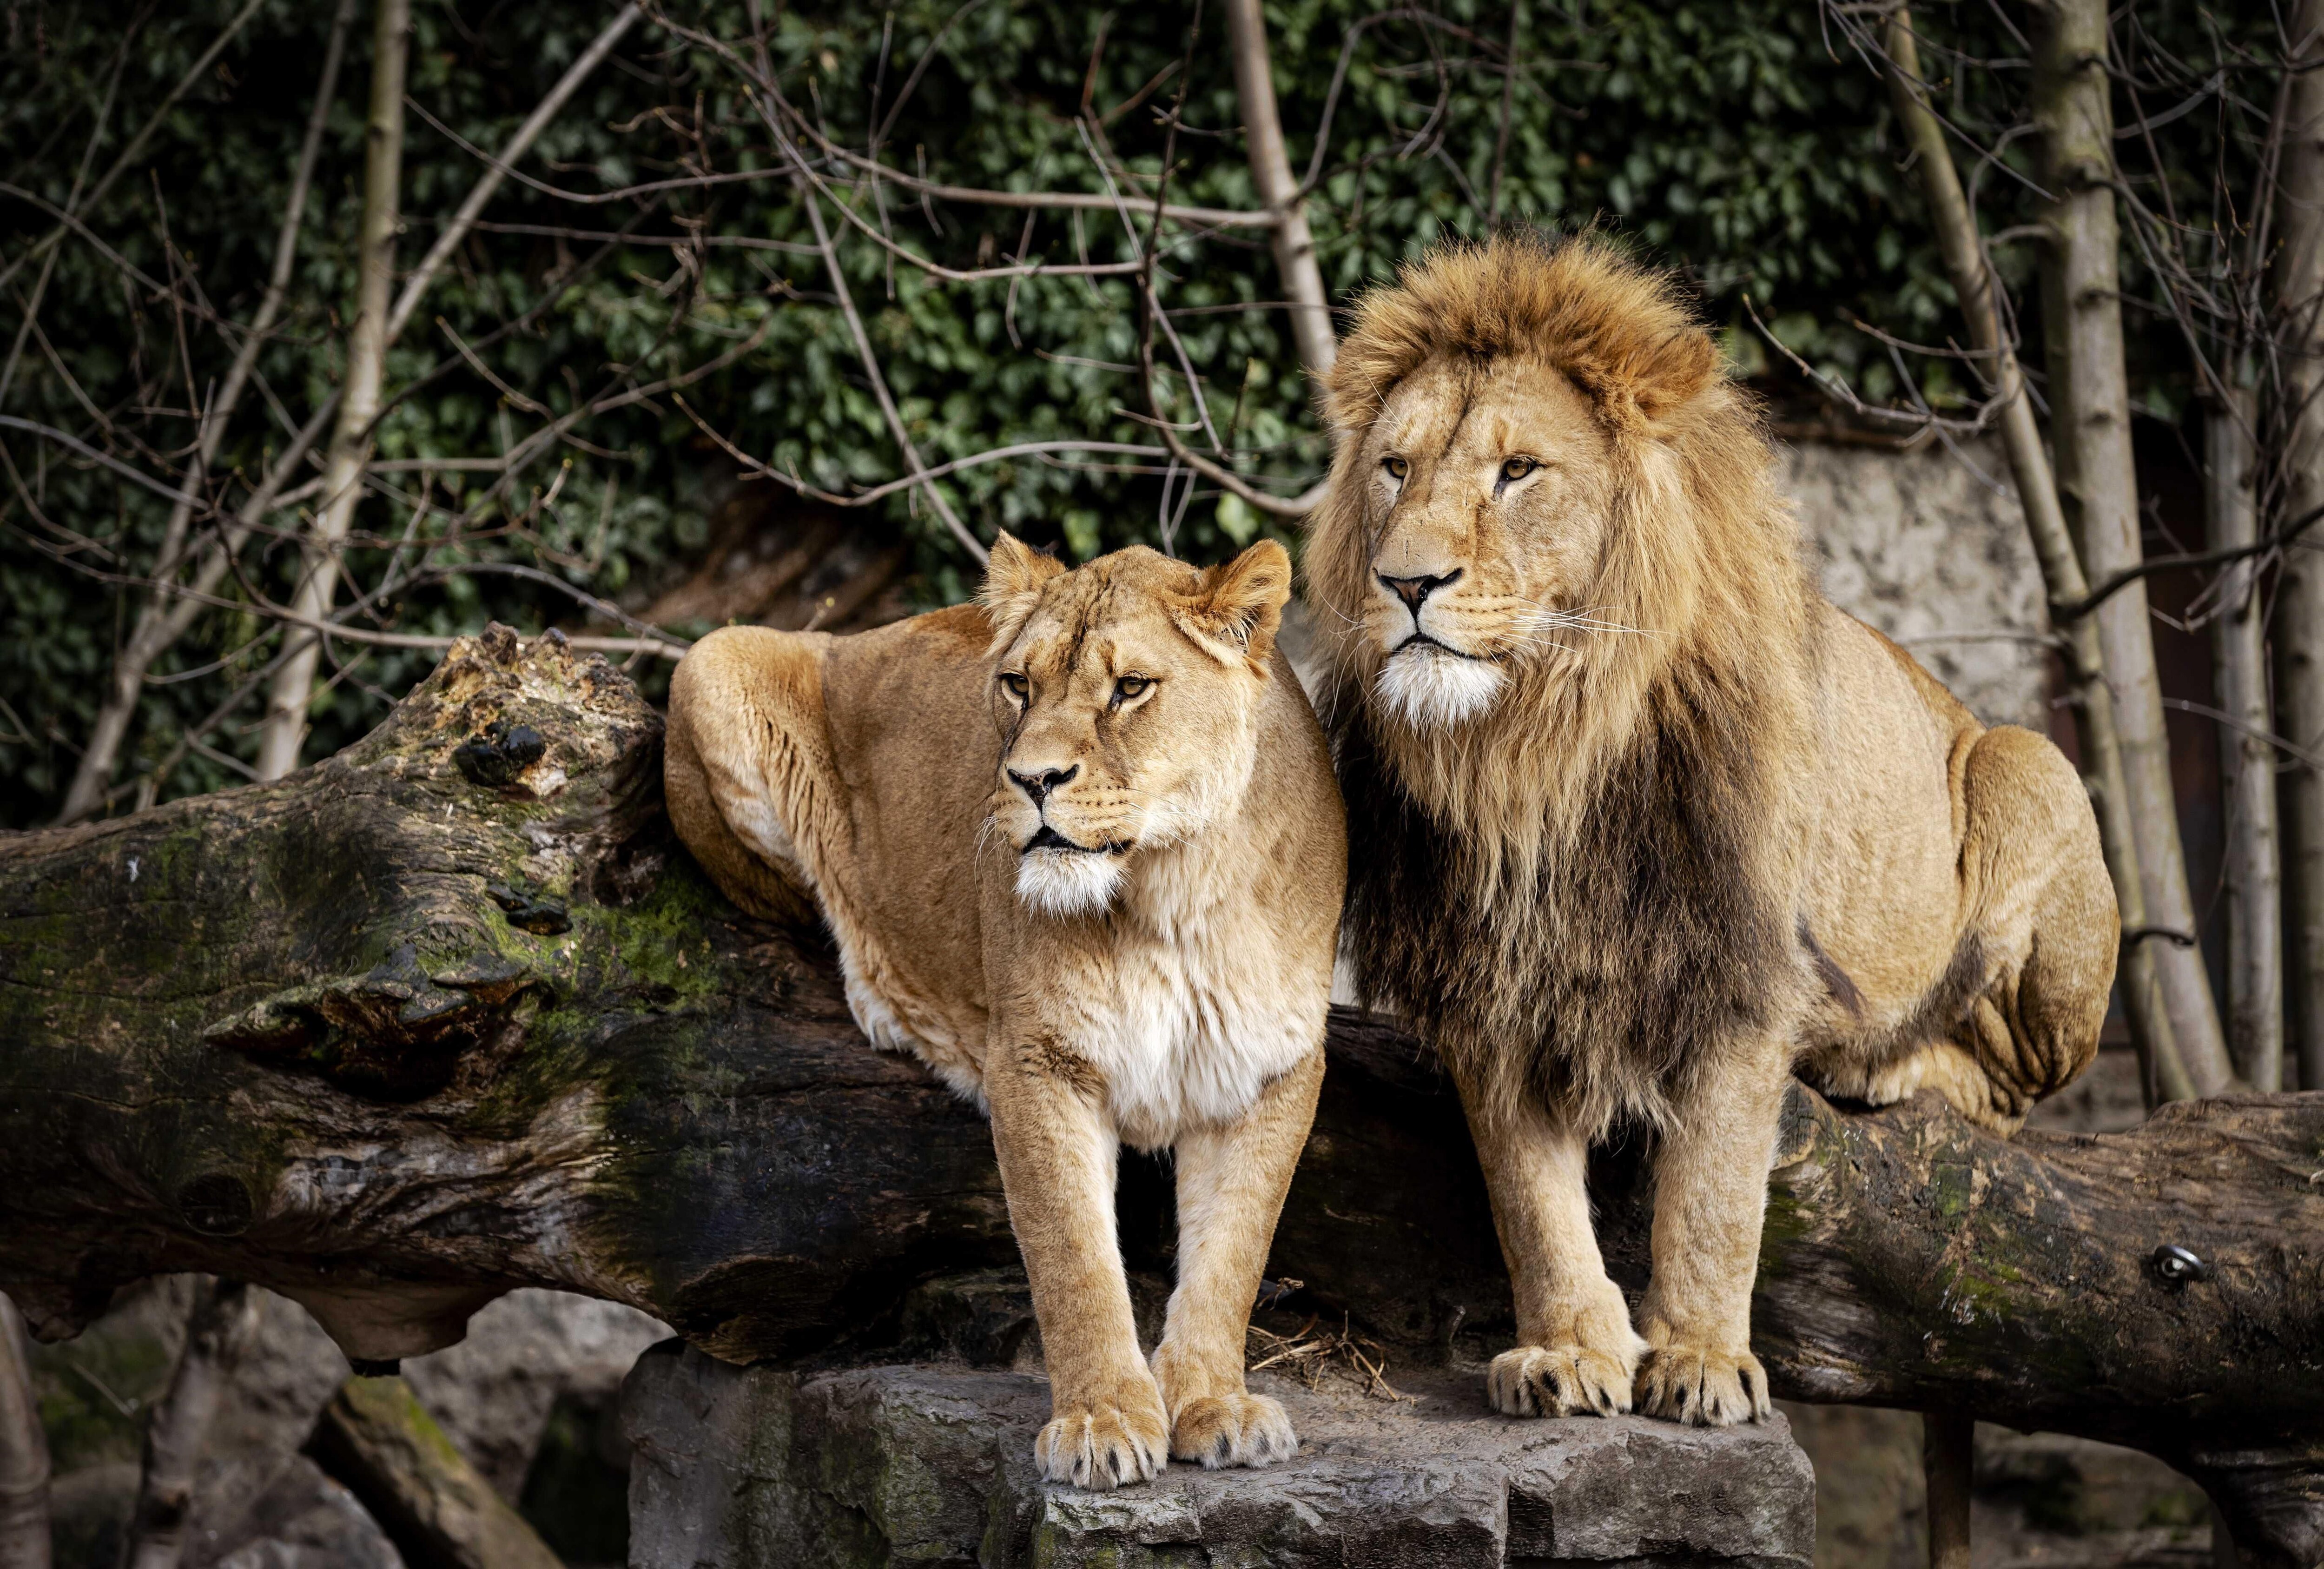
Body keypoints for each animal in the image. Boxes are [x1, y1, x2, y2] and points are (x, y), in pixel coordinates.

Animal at [665, 537, 1348, 1488]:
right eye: (1019, 684)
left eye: (1131, 687)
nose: (1032, 779)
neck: (1167, 893)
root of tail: (855, 637)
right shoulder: (1036, 1059)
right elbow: (1074, 1256)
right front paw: (1103, 1421)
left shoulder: (1270, 1067)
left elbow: (1233, 1253)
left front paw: (1216, 1405)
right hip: (711, 657)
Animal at [1311, 233, 2129, 1423]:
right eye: (1394, 469)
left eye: (1517, 472)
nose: (1404, 580)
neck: (1535, 752)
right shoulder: (1494, 982)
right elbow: (1530, 1199)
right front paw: (1569, 1349)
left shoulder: (1741, 964)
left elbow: (1712, 1194)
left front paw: (1698, 1359)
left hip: (2030, 766)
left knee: (2012, 1095)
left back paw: (1883, 1065)